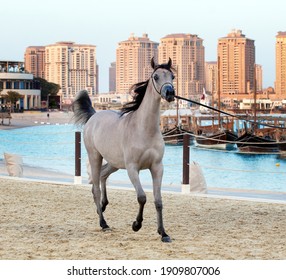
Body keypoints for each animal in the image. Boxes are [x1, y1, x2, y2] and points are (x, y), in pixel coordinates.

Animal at [72, 58, 174, 242]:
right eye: (156, 77)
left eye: (172, 76)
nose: (170, 92)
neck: (143, 129)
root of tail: (94, 116)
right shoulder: (133, 168)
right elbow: (142, 197)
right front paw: (136, 225)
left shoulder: (157, 167)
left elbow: (158, 201)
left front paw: (163, 233)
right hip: (95, 157)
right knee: (95, 188)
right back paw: (103, 223)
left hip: (114, 163)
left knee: (102, 177)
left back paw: (102, 206)